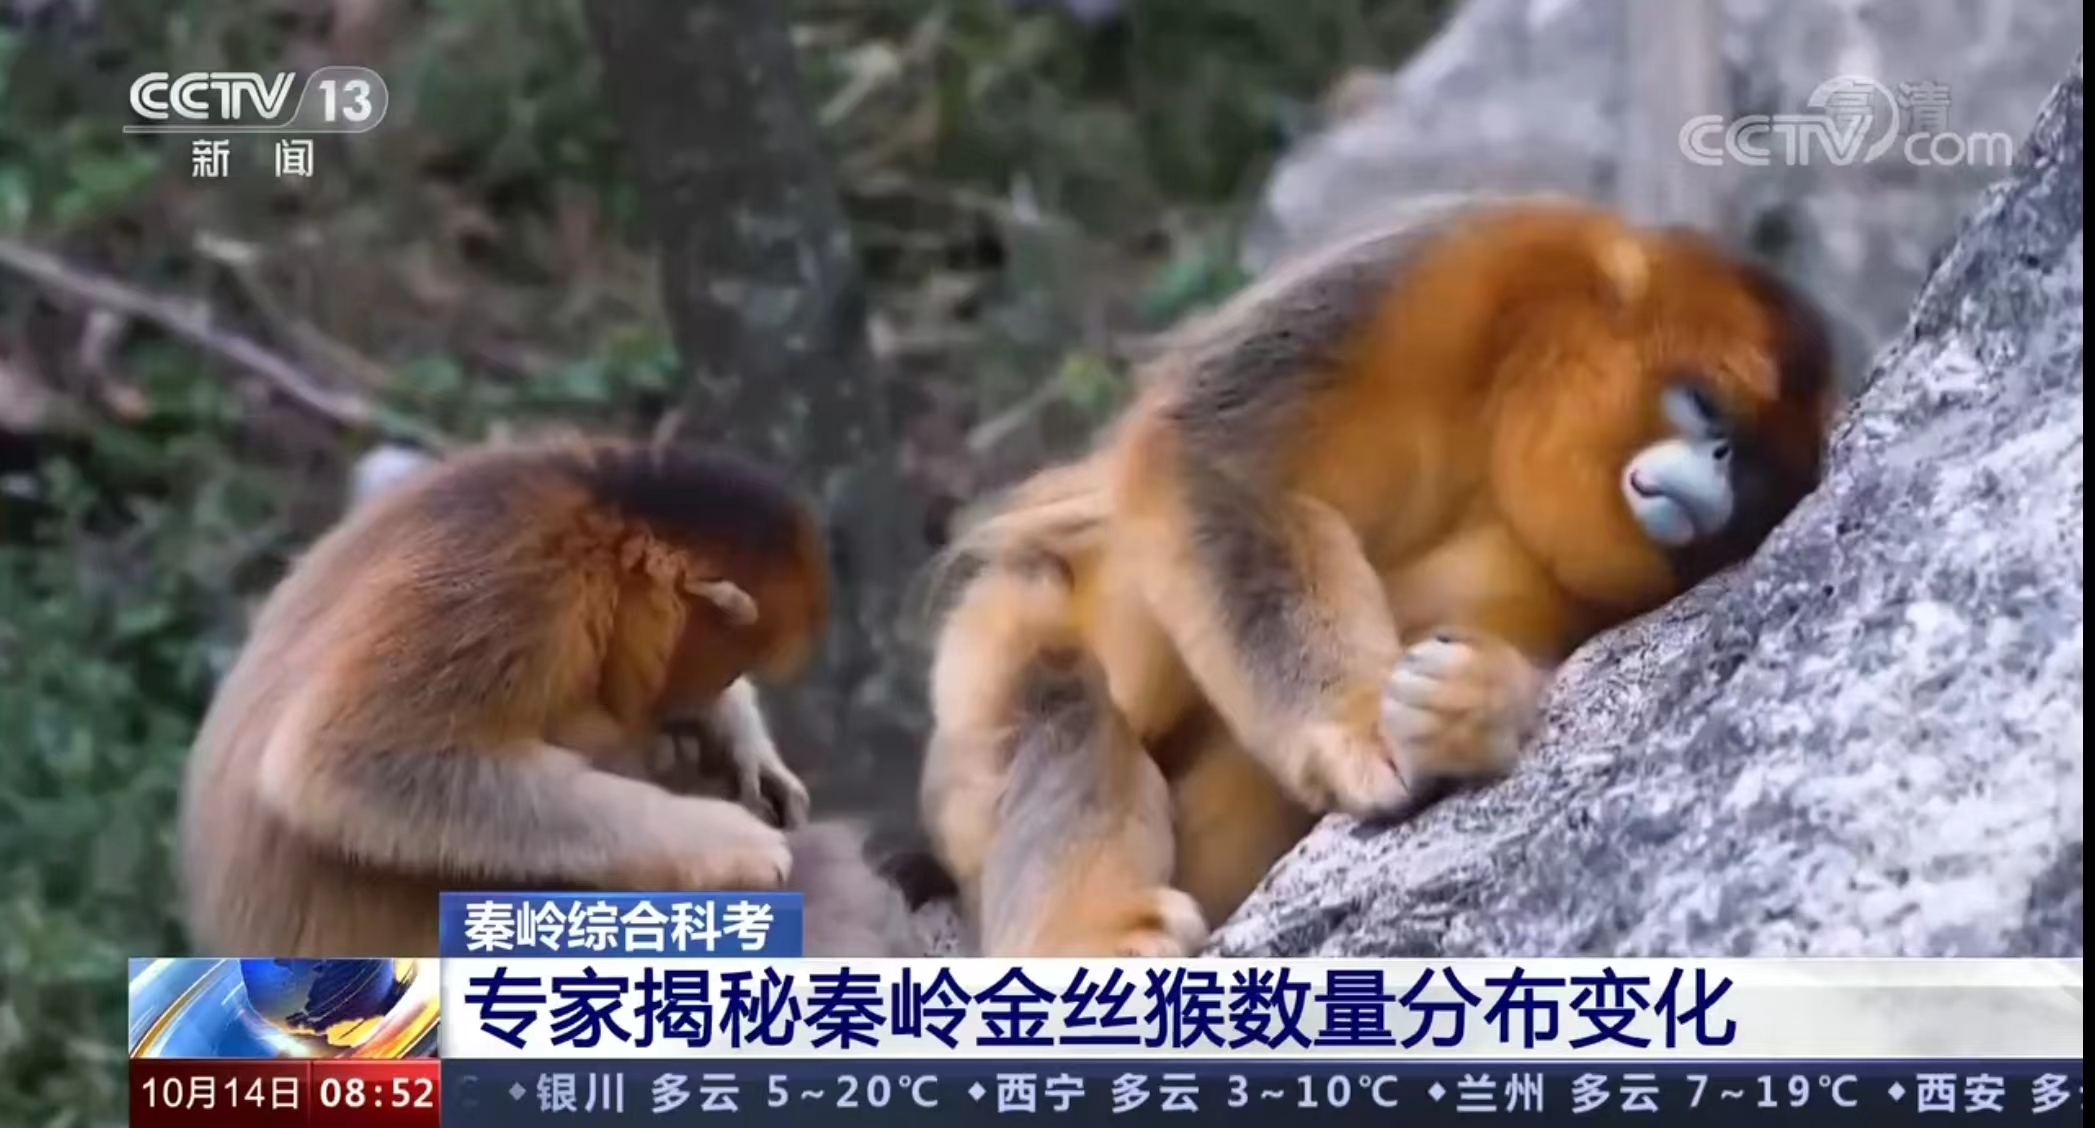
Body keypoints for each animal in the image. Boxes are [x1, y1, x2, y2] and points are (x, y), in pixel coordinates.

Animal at [179, 434, 919, 957]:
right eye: (727, 667)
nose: (706, 695)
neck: (592, 515)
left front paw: (742, 747)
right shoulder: (524, 590)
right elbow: (346, 766)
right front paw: (729, 842)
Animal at [918, 196, 1841, 957]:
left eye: (1752, 467)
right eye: (1710, 412)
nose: (1720, 472)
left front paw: (1470, 708)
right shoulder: (1450, 263)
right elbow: (1209, 465)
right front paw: (1362, 716)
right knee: (1056, 690)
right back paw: (1089, 928)